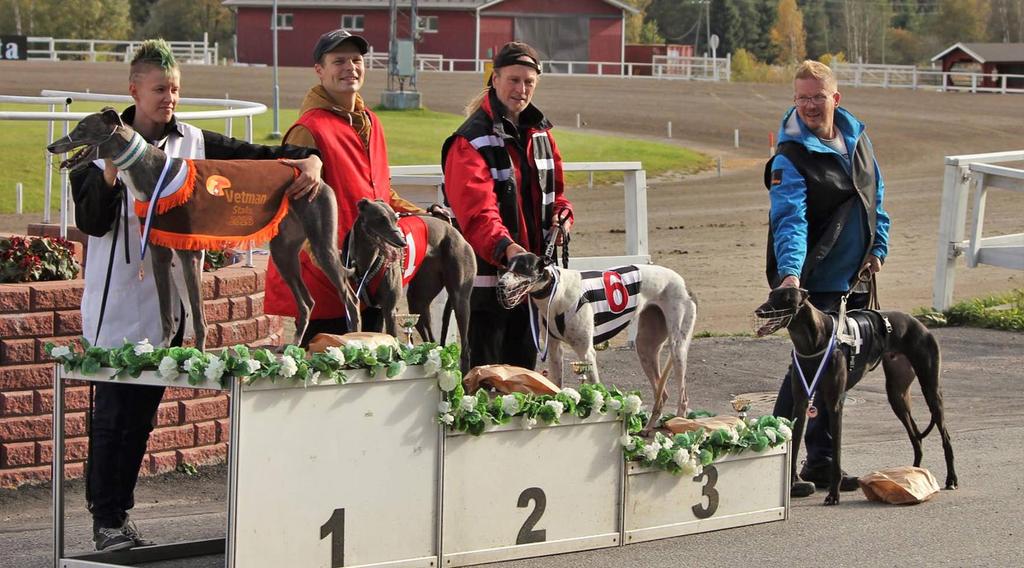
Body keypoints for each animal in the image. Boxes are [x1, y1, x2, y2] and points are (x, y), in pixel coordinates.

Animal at [757, 288, 954, 507]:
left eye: (785, 298)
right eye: (770, 295)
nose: (759, 311)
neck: (813, 343)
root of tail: (919, 323)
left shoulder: (835, 404)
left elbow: (836, 455)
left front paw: (833, 495)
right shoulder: (800, 402)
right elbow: (794, 445)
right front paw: (792, 487)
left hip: (931, 390)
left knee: (945, 437)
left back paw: (950, 479)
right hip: (897, 395)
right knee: (916, 439)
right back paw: (913, 475)